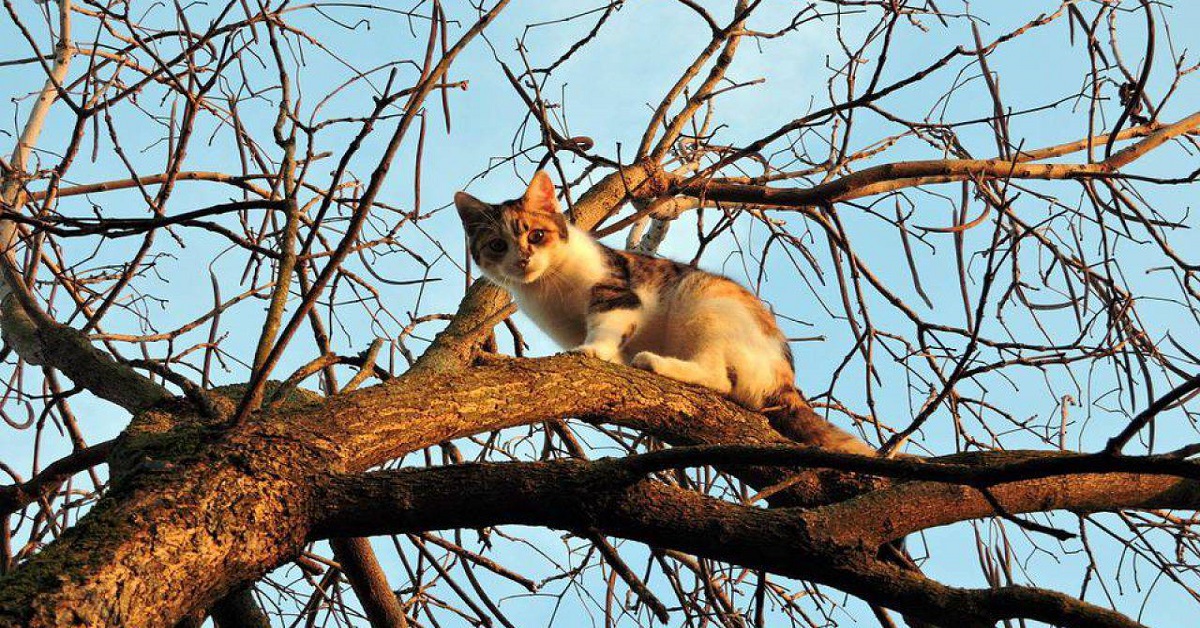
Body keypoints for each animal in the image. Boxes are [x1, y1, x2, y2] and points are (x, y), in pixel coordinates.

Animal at [453, 171, 878, 456]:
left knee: (718, 378)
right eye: (497, 245)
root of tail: (785, 377)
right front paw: (606, 356)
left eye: (536, 235)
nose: (523, 259)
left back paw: (655, 362)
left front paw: (593, 351)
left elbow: (605, 326)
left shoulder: (617, 293)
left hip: (704, 303)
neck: (547, 286)